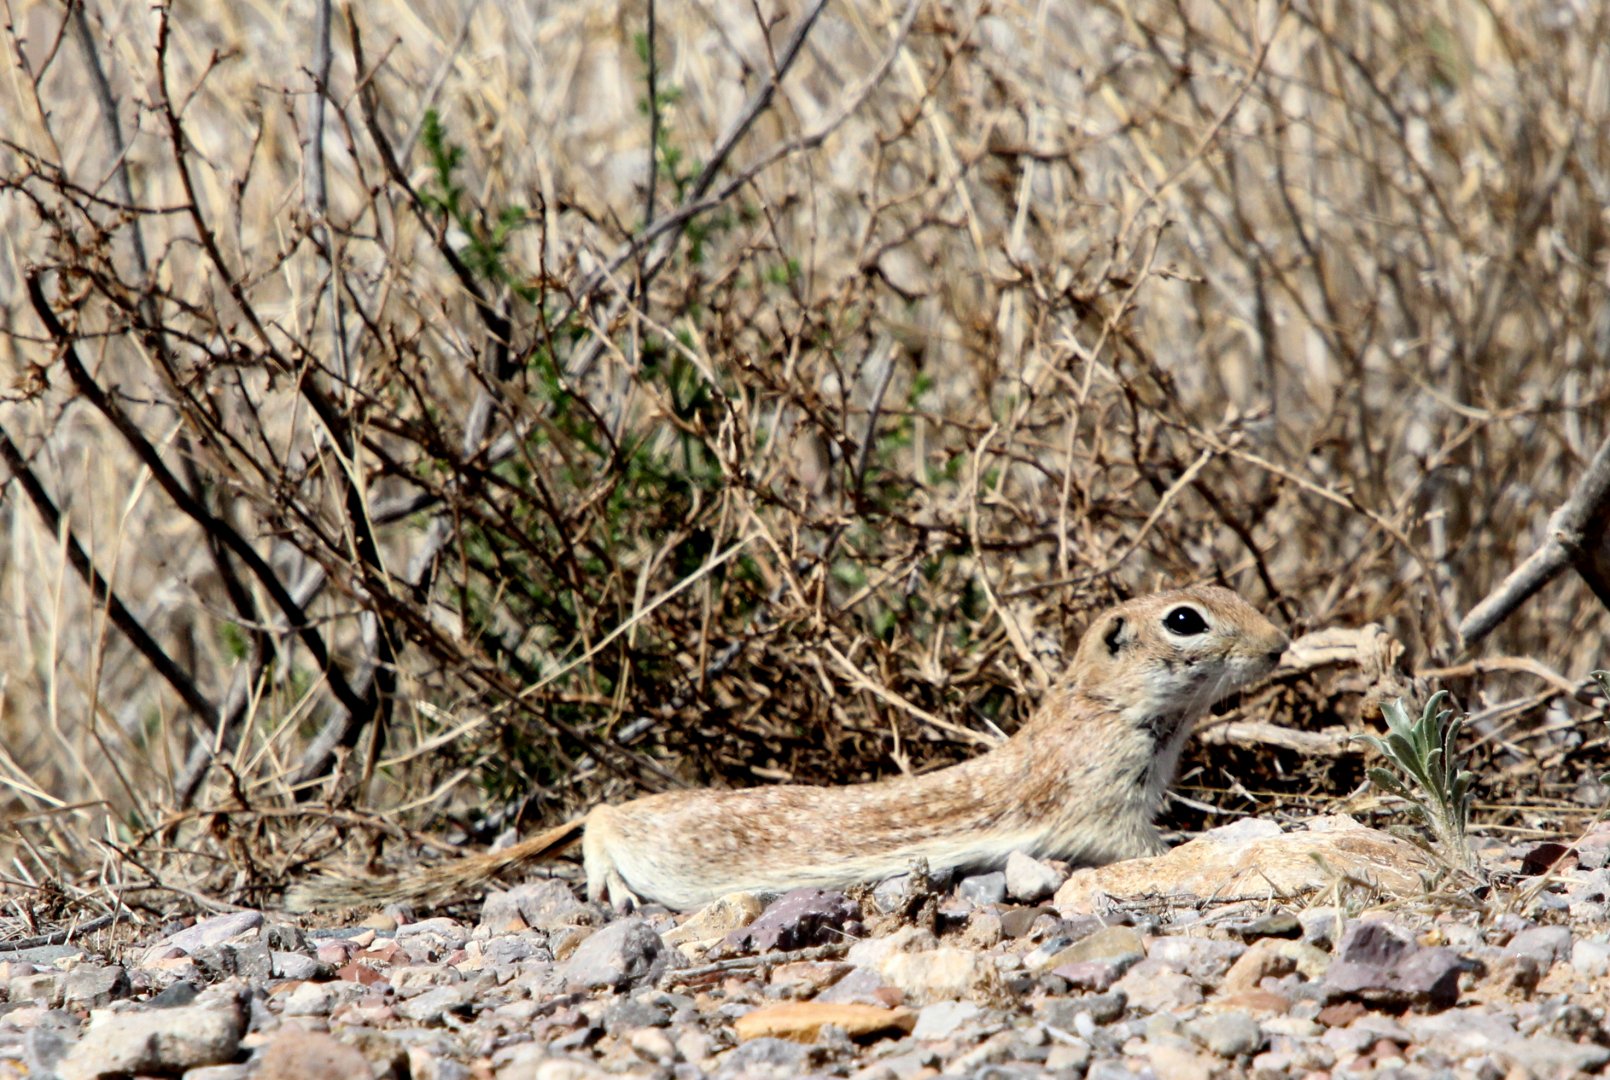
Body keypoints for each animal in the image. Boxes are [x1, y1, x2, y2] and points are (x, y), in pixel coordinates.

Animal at [290, 585, 1287, 912]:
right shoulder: (1102, 803)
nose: (1280, 644)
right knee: (601, 820)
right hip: (635, 834)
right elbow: (1140, 846)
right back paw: (609, 882)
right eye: (1186, 620)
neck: (1102, 710)